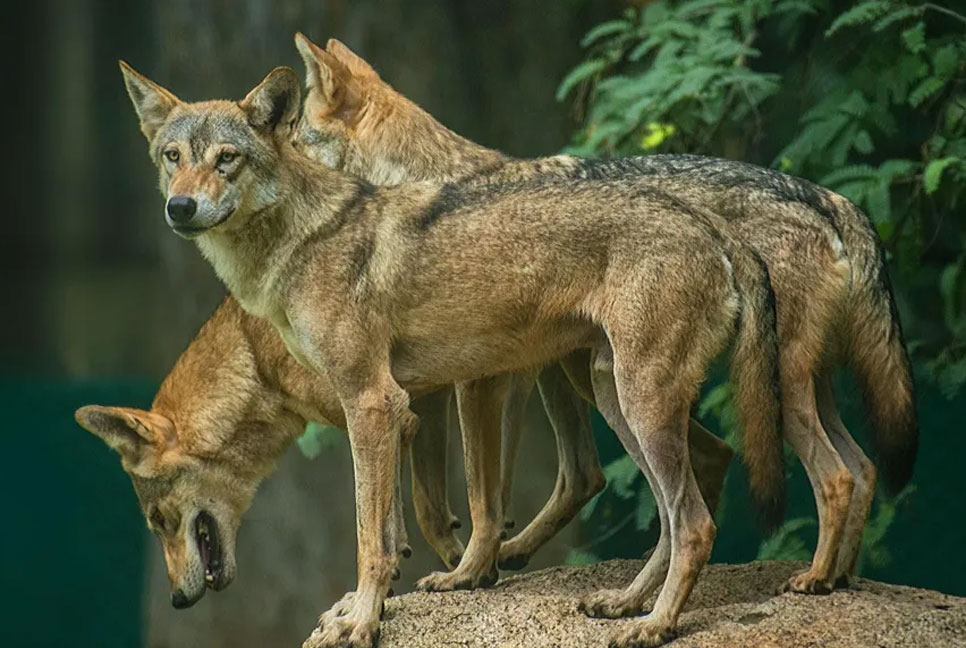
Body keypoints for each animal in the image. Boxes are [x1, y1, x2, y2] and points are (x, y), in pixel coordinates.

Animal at [121, 62, 788, 648]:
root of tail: (708, 225)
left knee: (694, 524)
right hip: (613, 398)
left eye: (226, 159)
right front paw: (388, 603)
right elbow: (398, 526)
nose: (180, 208)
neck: (299, 244)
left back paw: (654, 626)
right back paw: (626, 604)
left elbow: (375, 537)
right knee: (672, 517)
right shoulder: (397, 410)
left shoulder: (374, 403)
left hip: (636, 403)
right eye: (172, 157)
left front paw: (362, 622)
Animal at [296, 38, 924, 596]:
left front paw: (465, 572)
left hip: (743, 391)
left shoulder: (481, 383)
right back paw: (836, 578)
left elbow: (480, 495)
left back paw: (812, 578)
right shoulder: (455, 385)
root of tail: (829, 198)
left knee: (832, 475)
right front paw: (457, 562)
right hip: (618, 379)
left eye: (293, 138)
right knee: (859, 468)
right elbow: (439, 501)